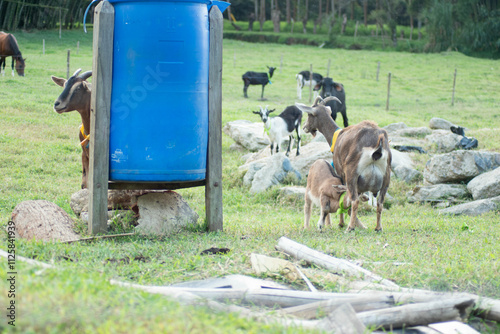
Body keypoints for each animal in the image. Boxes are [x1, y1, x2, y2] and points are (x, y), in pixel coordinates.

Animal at [296, 96, 390, 232]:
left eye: (309, 114)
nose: (304, 126)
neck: (337, 136)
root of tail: (378, 143)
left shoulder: (341, 172)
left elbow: (344, 195)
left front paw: (341, 223)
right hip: (386, 176)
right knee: (380, 203)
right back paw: (378, 228)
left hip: (352, 173)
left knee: (355, 201)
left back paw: (350, 228)